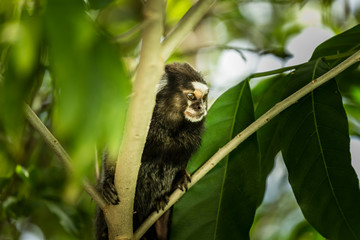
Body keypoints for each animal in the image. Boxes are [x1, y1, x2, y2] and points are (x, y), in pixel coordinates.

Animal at [94, 62, 210, 240]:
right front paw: (107, 183)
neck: (168, 128)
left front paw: (180, 176)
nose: (200, 107)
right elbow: (112, 153)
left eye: (203, 98)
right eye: (191, 96)